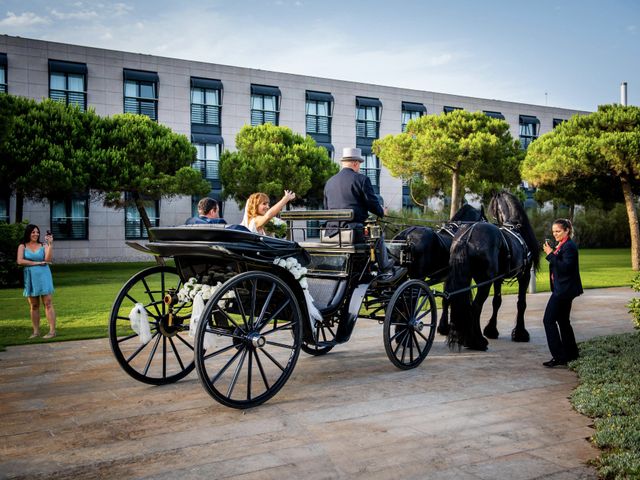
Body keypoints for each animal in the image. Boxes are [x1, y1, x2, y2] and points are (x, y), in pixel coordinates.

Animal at [392, 204, 488, 336]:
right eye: (485, 220)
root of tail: (406, 235)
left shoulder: (447, 277)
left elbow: (445, 298)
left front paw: (443, 327)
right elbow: (449, 297)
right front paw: (445, 327)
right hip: (417, 278)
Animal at [444, 189, 540, 350]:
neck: (514, 226)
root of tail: (467, 236)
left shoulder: (498, 279)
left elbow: (497, 301)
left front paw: (491, 330)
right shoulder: (525, 275)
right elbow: (521, 303)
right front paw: (520, 333)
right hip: (485, 281)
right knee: (476, 306)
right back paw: (477, 341)